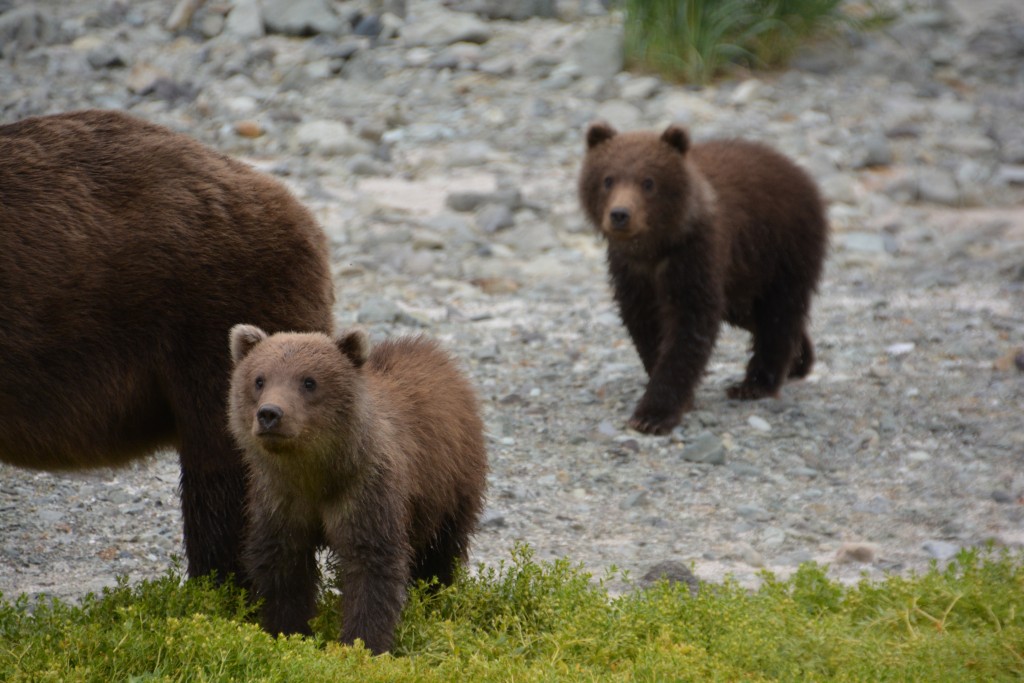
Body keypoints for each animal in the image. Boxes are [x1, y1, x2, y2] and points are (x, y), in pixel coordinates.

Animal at [581, 120, 827, 436]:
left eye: (649, 181)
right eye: (608, 179)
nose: (620, 214)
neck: (655, 249)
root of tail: (800, 172)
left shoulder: (695, 258)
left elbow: (690, 326)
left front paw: (653, 414)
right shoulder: (631, 273)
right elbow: (645, 325)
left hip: (781, 248)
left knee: (778, 314)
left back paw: (755, 384)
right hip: (743, 278)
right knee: (756, 315)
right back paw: (799, 360)